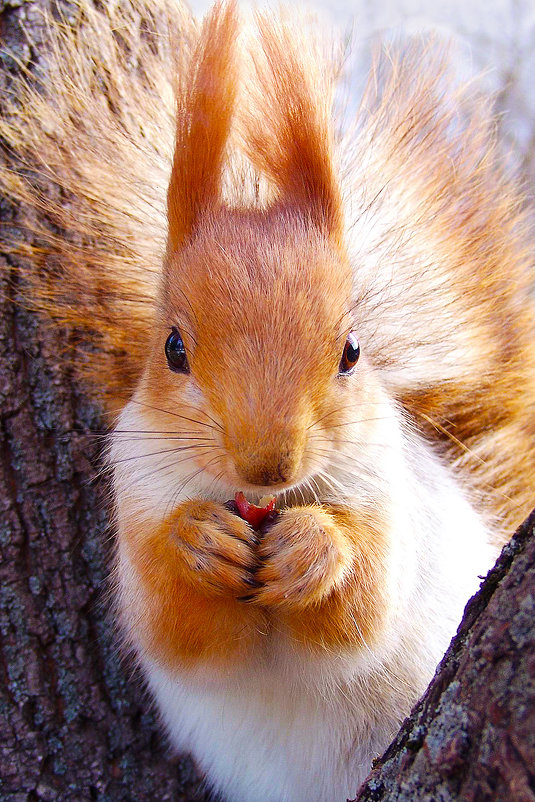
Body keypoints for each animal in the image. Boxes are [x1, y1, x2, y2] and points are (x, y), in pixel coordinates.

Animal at [1, 0, 535, 796]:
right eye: (173, 349)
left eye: (351, 351)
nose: (267, 466)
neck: (259, 502)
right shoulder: (136, 494)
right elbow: (178, 628)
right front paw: (197, 541)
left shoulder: (389, 496)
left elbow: (363, 610)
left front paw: (313, 548)